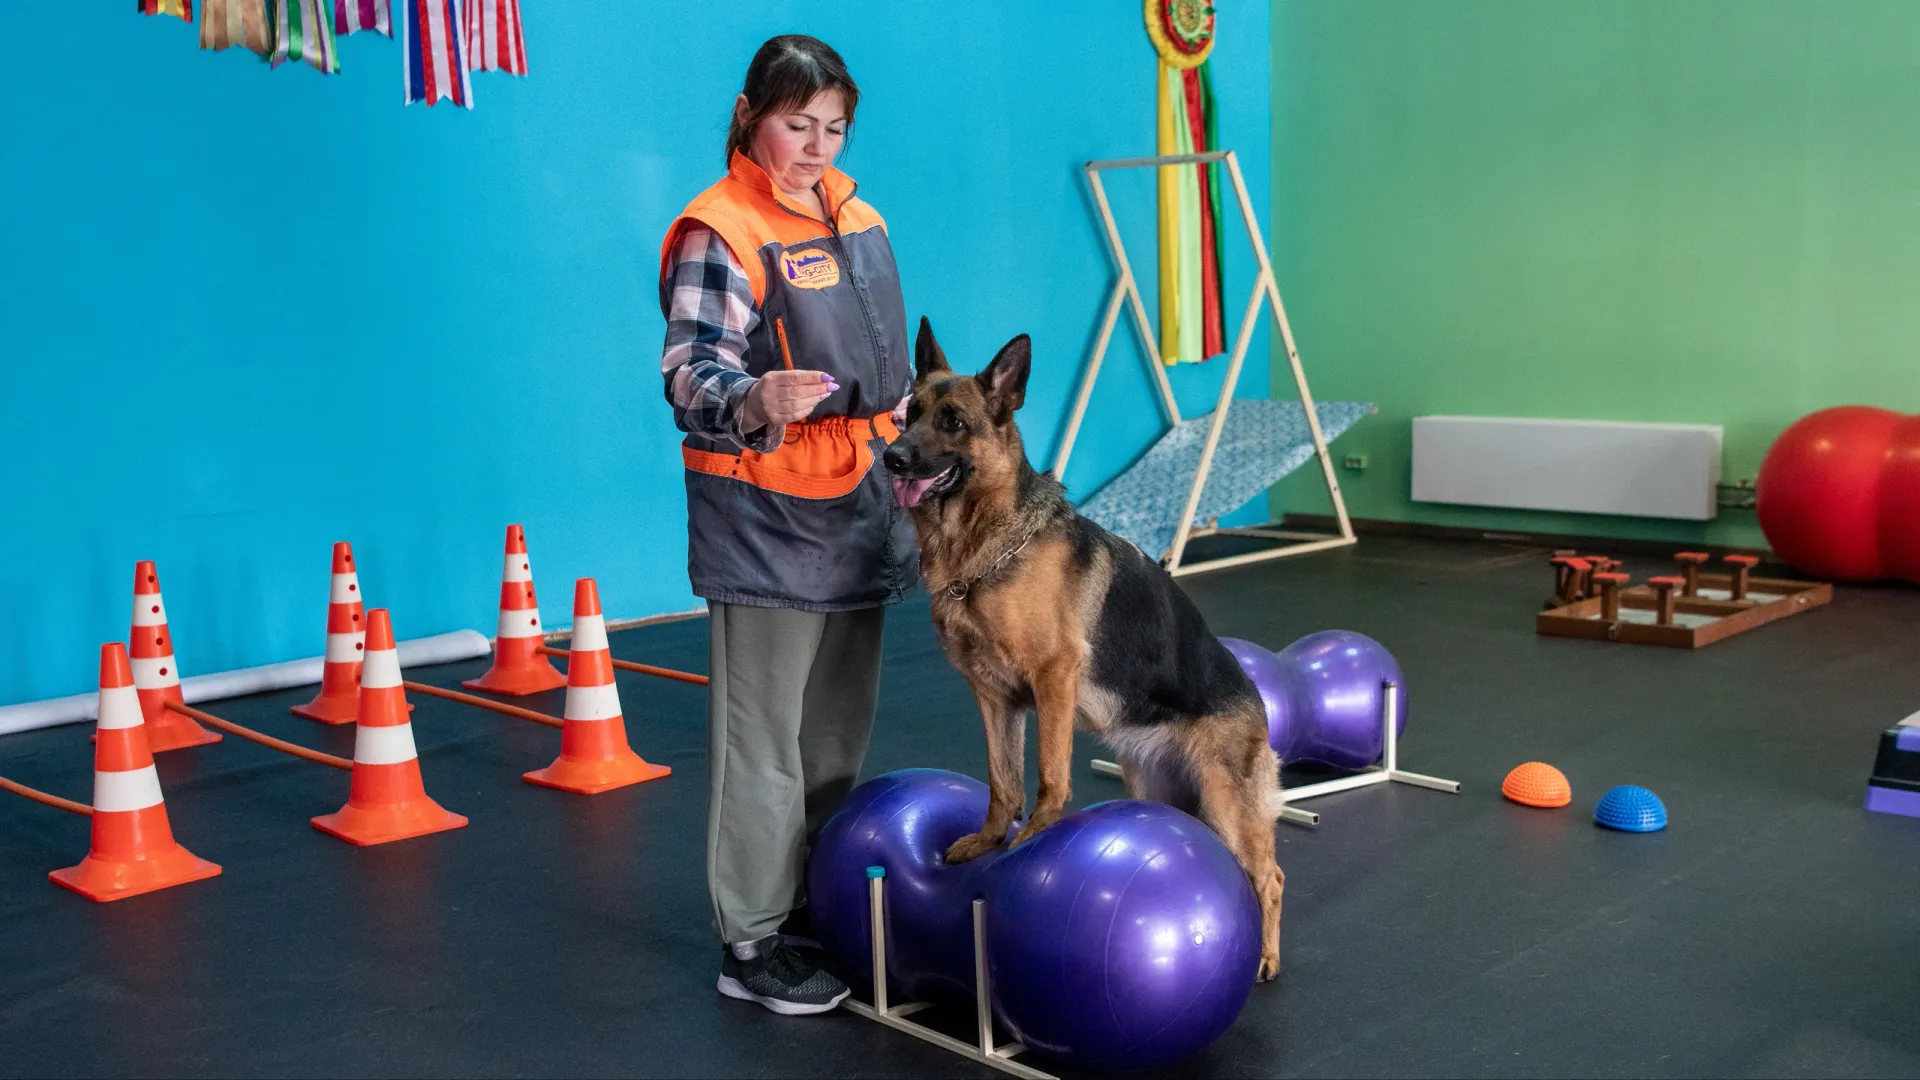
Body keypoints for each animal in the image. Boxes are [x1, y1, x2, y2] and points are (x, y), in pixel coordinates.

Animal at [883, 317, 1290, 976]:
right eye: (908, 414)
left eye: (953, 422)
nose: (890, 457)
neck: (986, 542)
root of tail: (1254, 695)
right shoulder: (994, 697)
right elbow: (1002, 781)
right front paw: (991, 840)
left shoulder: (1053, 677)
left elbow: (1049, 775)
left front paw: (1033, 838)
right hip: (1161, 789)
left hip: (1228, 799)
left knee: (1269, 874)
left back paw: (1265, 958)